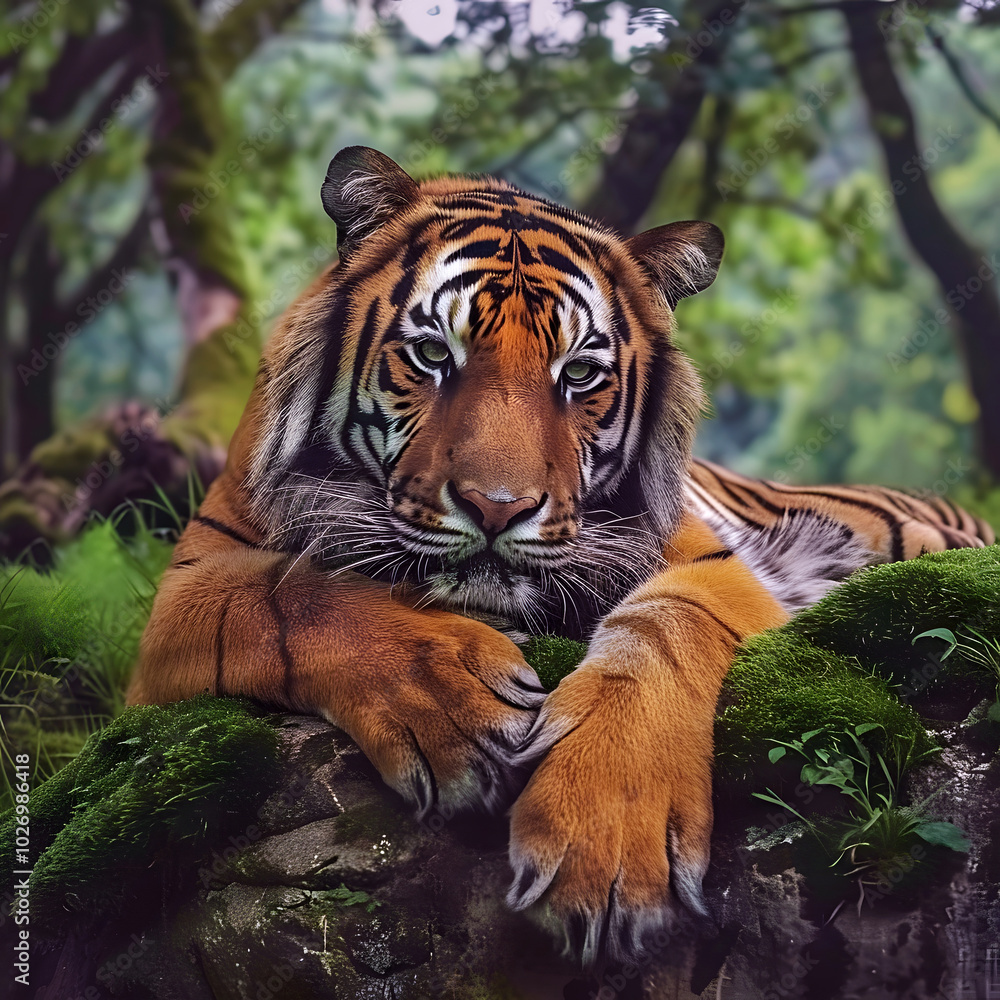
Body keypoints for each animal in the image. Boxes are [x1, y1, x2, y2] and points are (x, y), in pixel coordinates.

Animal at [128, 146, 994, 966]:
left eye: (579, 373)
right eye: (433, 354)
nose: (496, 507)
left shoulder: (708, 564)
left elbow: (664, 630)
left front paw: (604, 841)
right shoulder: (190, 587)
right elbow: (293, 592)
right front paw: (456, 701)